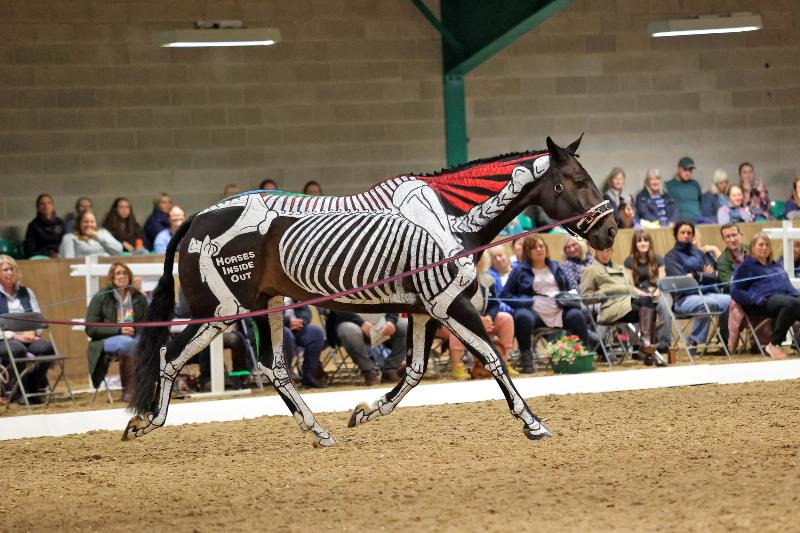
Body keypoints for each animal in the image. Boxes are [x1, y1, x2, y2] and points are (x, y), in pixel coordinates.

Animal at [123, 135, 617, 446]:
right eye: (575, 181)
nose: (610, 231)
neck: (450, 220)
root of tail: (197, 219)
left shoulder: (423, 310)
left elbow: (414, 371)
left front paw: (364, 412)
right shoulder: (449, 304)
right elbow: (493, 357)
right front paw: (533, 424)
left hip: (267, 305)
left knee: (275, 367)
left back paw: (318, 432)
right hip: (221, 310)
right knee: (170, 357)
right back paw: (145, 423)